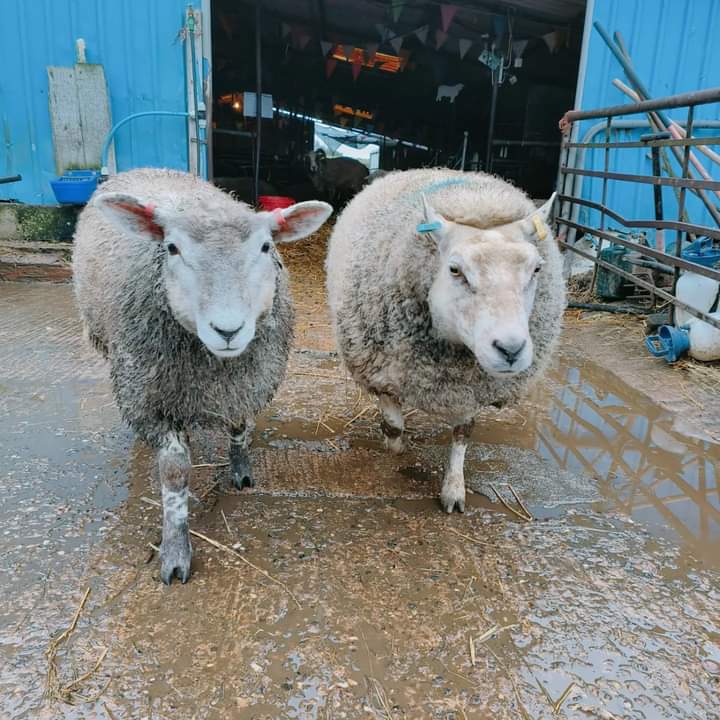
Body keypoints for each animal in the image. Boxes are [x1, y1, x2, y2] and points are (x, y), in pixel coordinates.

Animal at [73, 168, 332, 583]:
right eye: (172, 248)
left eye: (265, 247)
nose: (228, 330)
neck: (216, 364)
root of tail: (144, 169)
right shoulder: (154, 400)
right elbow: (175, 474)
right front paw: (175, 550)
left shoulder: (245, 383)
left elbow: (240, 425)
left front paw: (241, 471)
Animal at [326, 169, 565, 513]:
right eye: (454, 269)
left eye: (536, 269)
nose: (510, 350)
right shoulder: (383, 370)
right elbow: (394, 426)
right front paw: (394, 449)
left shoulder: (470, 386)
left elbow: (463, 433)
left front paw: (453, 490)